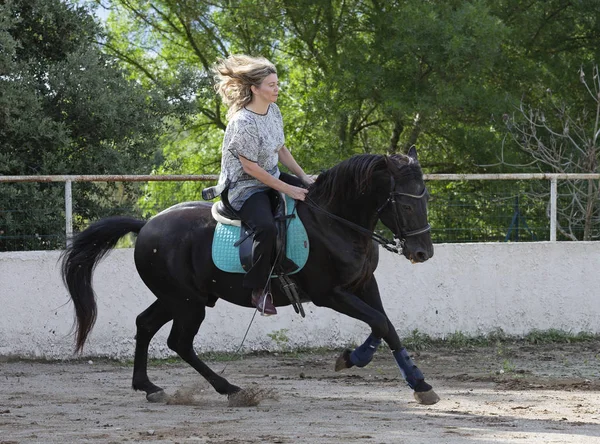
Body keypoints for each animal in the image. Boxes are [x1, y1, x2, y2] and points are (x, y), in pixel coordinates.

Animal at [61, 148, 438, 406]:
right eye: (405, 204)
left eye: (426, 199)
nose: (423, 253)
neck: (334, 221)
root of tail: (146, 226)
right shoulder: (330, 294)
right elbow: (380, 322)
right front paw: (354, 360)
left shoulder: (363, 284)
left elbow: (384, 325)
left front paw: (417, 383)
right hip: (187, 303)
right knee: (178, 342)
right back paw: (230, 389)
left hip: (178, 298)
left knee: (145, 324)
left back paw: (149, 387)